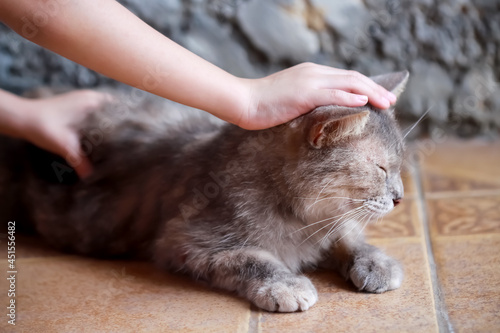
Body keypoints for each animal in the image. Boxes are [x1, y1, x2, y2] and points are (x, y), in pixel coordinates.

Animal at [0, 69, 410, 312]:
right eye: (381, 168)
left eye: (399, 165)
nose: (400, 197)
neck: (300, 216)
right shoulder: (185, 241)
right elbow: (253, 259)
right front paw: (286, 284)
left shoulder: (331, 223)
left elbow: (350, 237)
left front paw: (376, 262)